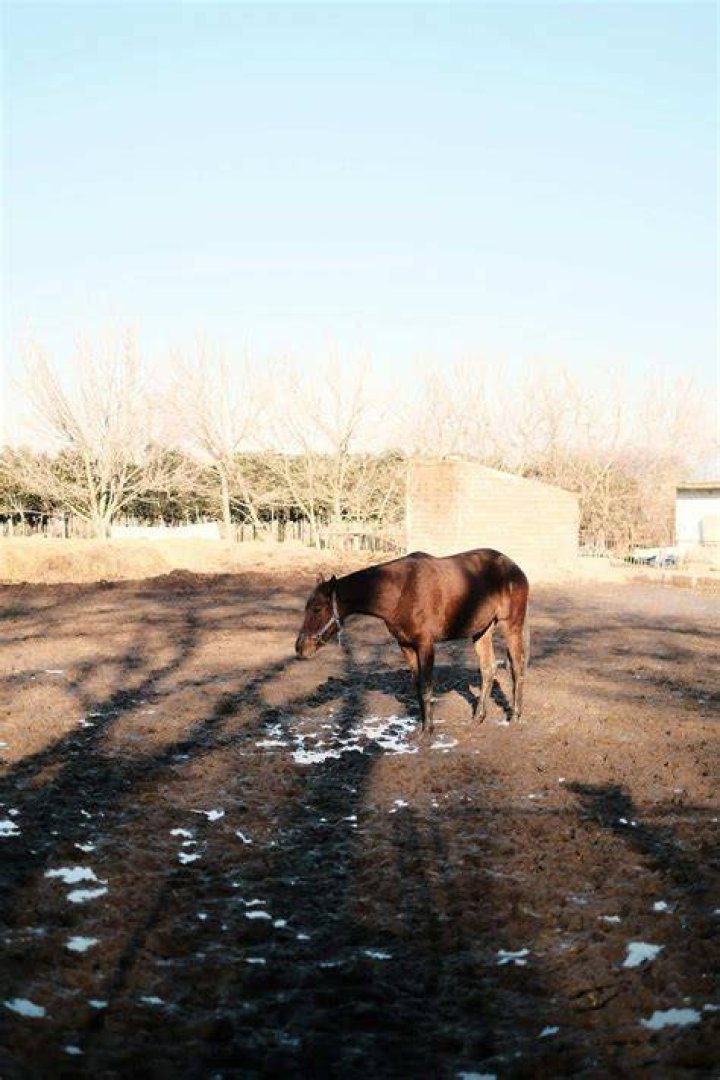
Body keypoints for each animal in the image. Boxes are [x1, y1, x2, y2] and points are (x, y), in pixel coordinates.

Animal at [295, 548, 529, 737]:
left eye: (317, 609)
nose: (300, 648)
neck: (400, 590)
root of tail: (515, 567)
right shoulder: (406, 646)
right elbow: (417, 688)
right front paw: (421, 727)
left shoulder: (425, 644)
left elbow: (426, 687)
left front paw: (428, 731)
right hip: (482, 630)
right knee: (488, 669)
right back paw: (478, 718)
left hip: (512, 626)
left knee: (517, 668)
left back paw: (515, 717)